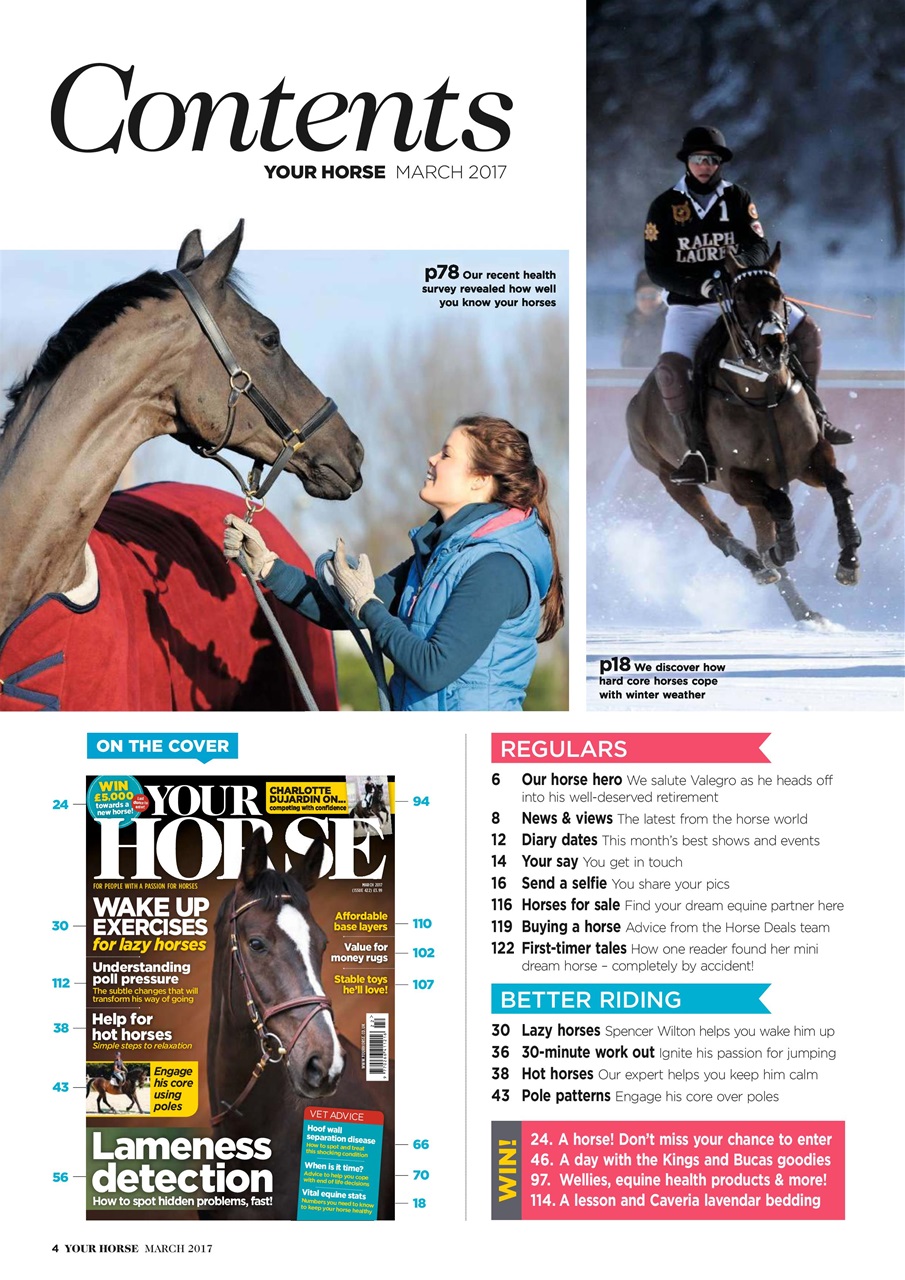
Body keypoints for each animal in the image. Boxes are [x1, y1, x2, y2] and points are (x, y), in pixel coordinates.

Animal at [626, 244, 862, 624]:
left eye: (778, 292)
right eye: (738, 297)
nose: (773, 347)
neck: (763, 394)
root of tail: (637, 400)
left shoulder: (810, 460)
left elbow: (838, 487)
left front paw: (849, 561)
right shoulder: (738, 479)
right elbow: (781, 505)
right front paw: (785, 546)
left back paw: (805, 611)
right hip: (669, 478)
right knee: (717, 530)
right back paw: (759, 565)